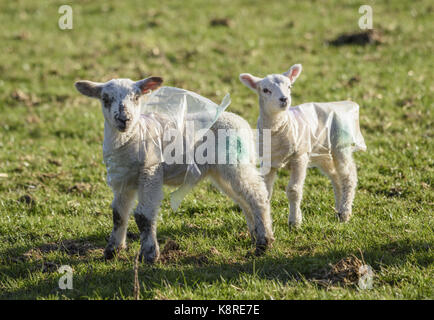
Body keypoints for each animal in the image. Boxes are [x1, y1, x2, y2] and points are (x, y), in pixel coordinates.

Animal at [73, 77, 272, 262]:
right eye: (105, 99)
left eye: (137, 97)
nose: (124, 119)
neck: (132, 137)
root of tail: (243, 124)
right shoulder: (124, 179)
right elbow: (119, 214)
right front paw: (112, 250)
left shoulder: (151, 172)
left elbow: (143, 215)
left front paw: (150, 254)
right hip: (221, 171)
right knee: (243, 199)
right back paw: (255, 234)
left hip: (235, 161)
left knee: (257, 194)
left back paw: (264, 242)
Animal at [241, 63, 366, 226]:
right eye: (265, 90)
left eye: (289, 86)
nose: (284, 99)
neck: (278, 129)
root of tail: (346, 104)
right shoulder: (269, 161)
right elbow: (266, 192)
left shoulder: (299, 157)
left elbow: (294, 190)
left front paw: (295, 221)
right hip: (323, 153)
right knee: (336, 177)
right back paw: (338, 211)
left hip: (340, 146)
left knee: (348, 177)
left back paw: (345, 213)